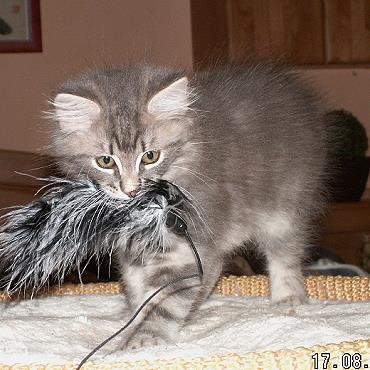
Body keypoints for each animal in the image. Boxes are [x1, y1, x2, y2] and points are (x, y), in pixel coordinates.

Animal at [47, 62, 328, 348]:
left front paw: (144, 339)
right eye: (105, 161)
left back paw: (288, 297)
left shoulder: (183, 246)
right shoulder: (134, 250)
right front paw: (133, 322)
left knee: (285, 255)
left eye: (150, 156)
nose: (131, 190)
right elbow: (139, 290)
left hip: (285, 209)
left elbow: (162, 300)